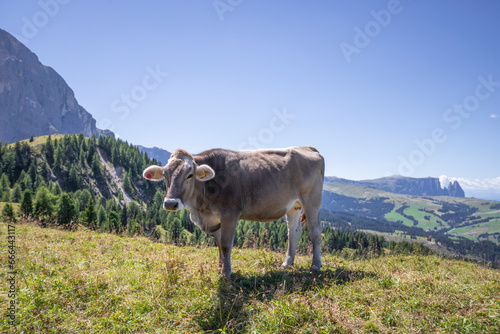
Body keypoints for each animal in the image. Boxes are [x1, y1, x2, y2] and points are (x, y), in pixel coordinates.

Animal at [143, 146, 326, 280]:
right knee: (293, 232)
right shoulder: (215, 217)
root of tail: (307, 147)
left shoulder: (230, 214)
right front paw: (219, 268)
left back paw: (315, 265)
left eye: (189, 175)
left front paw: (226, 273)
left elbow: (225, 245)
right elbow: (218, 244)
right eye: (165, 175)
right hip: (293, 206)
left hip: (312, 200)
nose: (170, 203)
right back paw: (287, 264)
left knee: (315, 232)